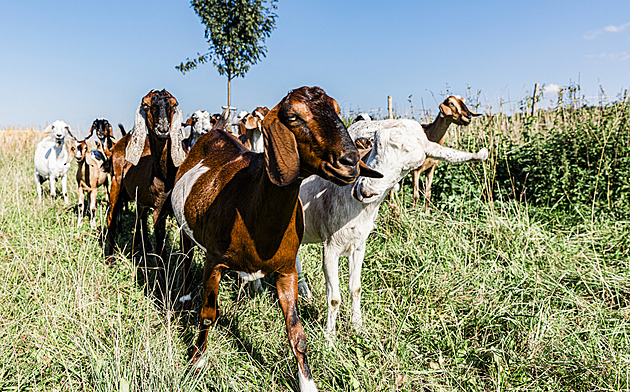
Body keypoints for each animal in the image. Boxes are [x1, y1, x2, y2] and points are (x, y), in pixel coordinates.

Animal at [103, 89, 186, 286]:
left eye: (173, 104)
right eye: (146, 105)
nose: (163, 129)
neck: (166, 177)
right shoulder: (159, 211)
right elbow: (161, 252)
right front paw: (161, 287)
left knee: (139, 220)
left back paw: (138, 251)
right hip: (116, 184)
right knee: (111, 218)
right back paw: (111, 259)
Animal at [170, 86, 382, 392]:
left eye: (337, 110)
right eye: (293, 116)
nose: (350, 162)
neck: (251, 204)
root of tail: (217, 131)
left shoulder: (286, 269)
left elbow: (296, 332)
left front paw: (307, 383)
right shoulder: (214, 261)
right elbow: (208, 314)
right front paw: (196, 363)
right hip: (184, 227)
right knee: (186, 256)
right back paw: (186, 294)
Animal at [296, 118, 488, 336]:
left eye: (409, 167)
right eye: (375, 145)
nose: (366, 191)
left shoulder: (358, 245)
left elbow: (356, 288)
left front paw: (358, 327)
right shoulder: (330, 246)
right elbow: (334, 298)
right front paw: (329, 337)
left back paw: (304, 293)